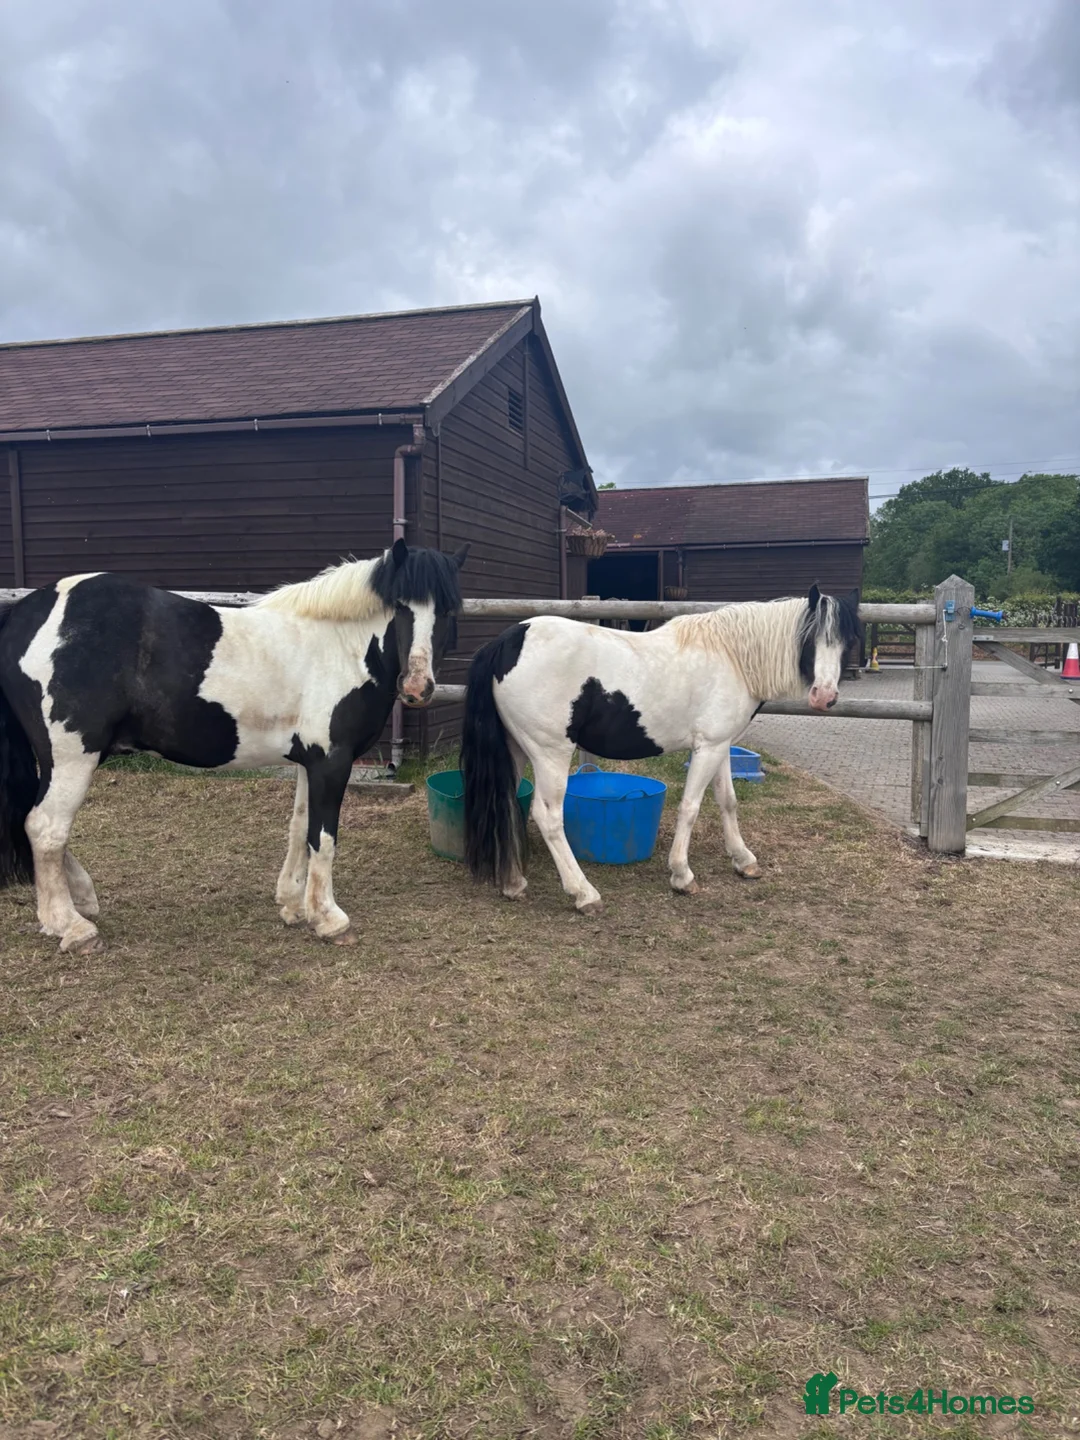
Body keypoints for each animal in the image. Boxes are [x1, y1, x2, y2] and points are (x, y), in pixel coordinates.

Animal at [0, 539, 467, 955]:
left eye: (447, 610)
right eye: (401, 607)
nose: (417, 688)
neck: (338, 647)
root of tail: (26, 615)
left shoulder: (310, 761)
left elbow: (300, 827)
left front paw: (293, 906)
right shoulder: (333, 762)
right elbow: (324, 836)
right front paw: (329, 918)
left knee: (36, 822)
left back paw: (79, 901)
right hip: (72, 756)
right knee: (46, 827)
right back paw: (72, 927)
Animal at [461, 585, 861, 914]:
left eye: (848, 640)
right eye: (811, 638)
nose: (824, 697)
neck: (731, 656)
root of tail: (507, 642)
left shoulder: (719, 745)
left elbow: (727, 801)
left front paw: (743, 860)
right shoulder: (708, 748)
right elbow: (690, 807)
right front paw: (682, 875)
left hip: (516, 749)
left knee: (507, 804)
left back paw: (513, 884)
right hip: (551, 754)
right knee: (546, 817)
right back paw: (584, 894)